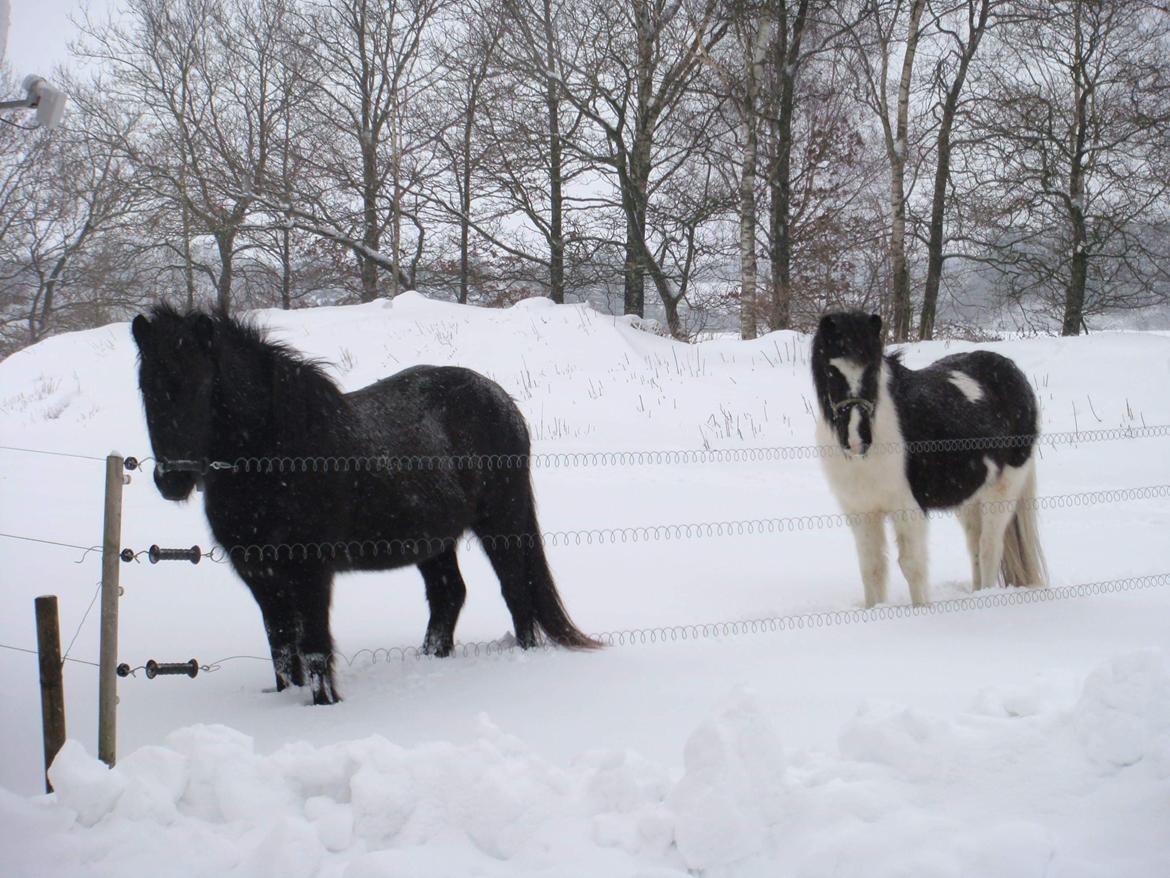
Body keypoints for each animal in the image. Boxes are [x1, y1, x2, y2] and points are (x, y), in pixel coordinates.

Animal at [132, 306, 599, 707]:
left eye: (200, 384)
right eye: (145, 388)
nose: (173, 479)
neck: (278, 453)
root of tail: (501, 400)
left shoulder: (310, 572)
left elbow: (314, 648)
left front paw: (325, 706)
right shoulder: (261, 577)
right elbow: (282, 650)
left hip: (501, 519)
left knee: (516, 589)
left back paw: (523, 659)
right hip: (435, 540)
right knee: (449, 594)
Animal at [809, 313, 1048, 608]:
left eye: (872, 370)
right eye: (831, 371)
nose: (856, 439)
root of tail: (1012, 372)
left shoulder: (908, 507)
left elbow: (911, 565)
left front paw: (921, 610)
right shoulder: (861, 511)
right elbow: (872, 567)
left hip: (1005, 486)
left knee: (989, 547)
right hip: (970, 496)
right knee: (975, 546)